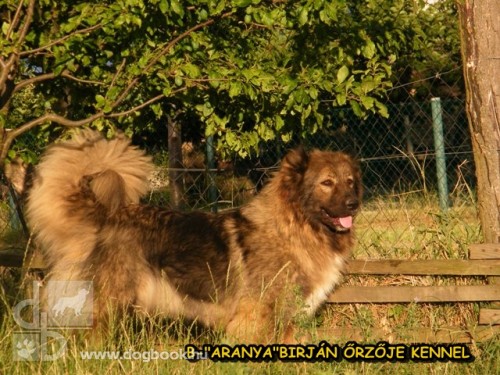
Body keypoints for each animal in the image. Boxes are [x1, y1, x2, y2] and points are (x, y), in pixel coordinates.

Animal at [25, 131, 362, 344]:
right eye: (327, 183)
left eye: (349, 181)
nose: (353, 204)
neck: (291, 228)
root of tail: (107, 216)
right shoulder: (257, 316)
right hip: (110, 301)